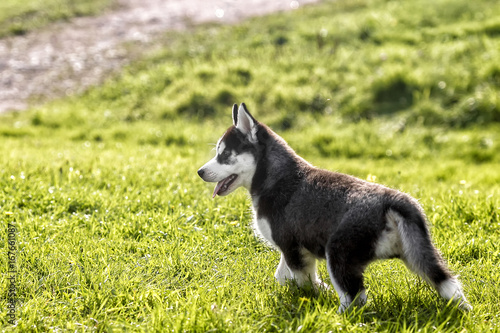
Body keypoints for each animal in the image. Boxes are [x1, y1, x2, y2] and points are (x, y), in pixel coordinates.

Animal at [197, 103, 470, 312]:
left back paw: (337, 317)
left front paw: (315, 293)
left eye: (225, 155)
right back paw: (462, 308)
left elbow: (304, 280)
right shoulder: (292, 248)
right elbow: (282, 275)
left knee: (355, 296)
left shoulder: (292, 247)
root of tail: (393, 200)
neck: (275, 177)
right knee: (447, 282)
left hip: (338, 254)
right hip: (417, 254)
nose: (200, 172)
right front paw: (314, 289)